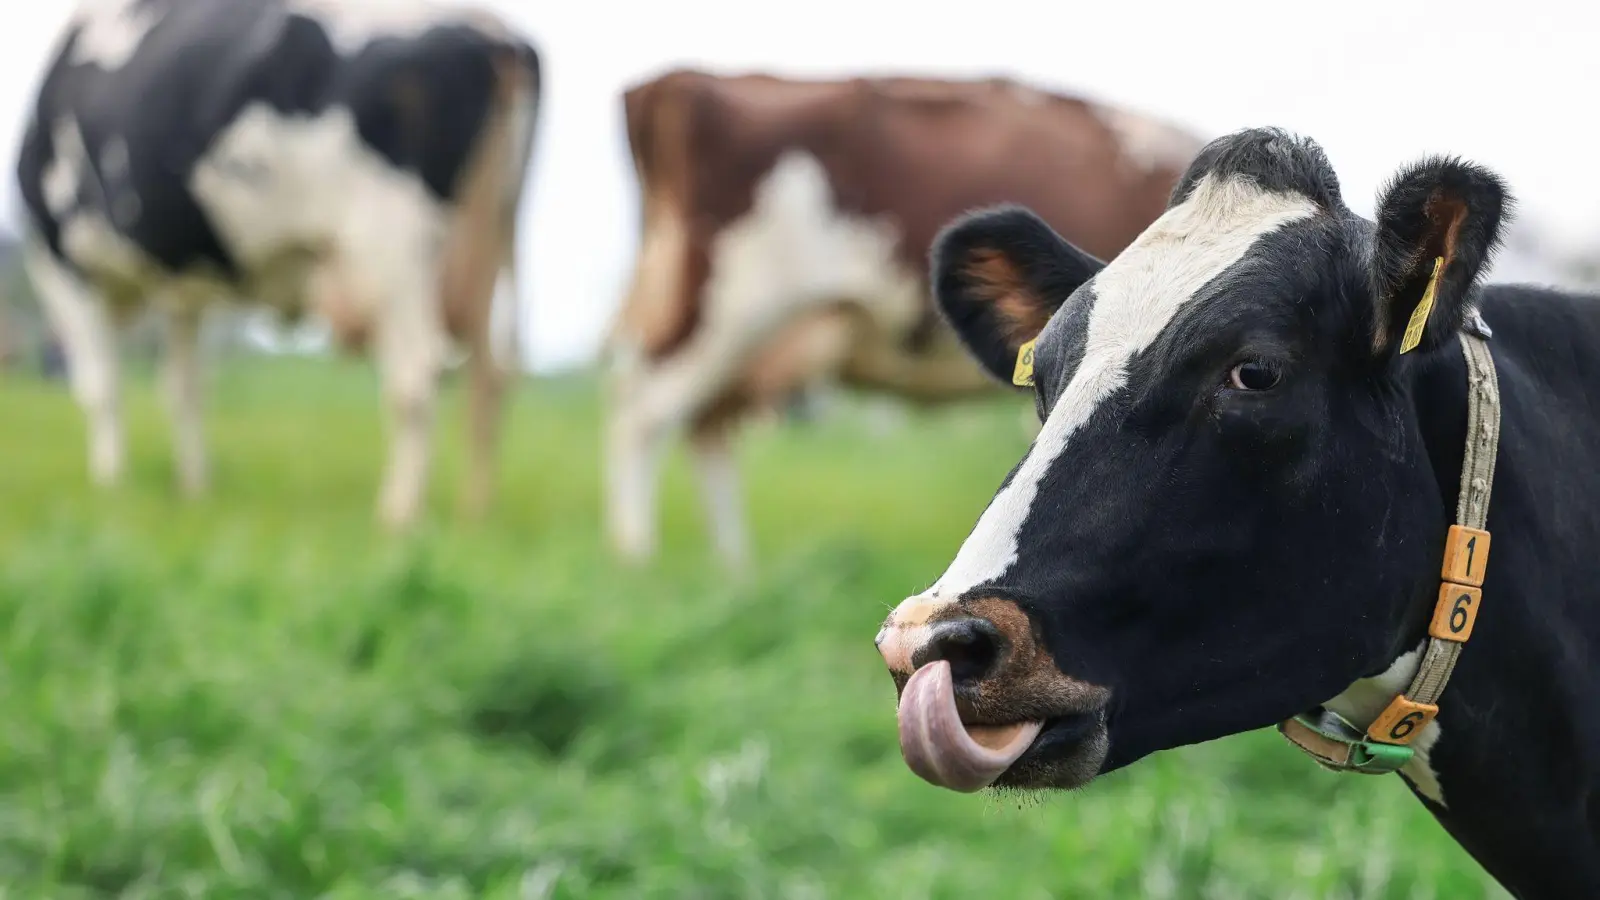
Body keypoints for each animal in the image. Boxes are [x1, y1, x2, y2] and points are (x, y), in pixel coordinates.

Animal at [15, 0, 544, 525]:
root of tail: (490, 29)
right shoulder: (184, 287)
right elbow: (185, 388)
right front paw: (194, 488)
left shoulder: (61, 262)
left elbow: (101, 388)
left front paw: (111, 487)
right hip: (494, 241)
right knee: (490, 377)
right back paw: (475, 513)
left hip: (393, 244)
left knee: (416, 374)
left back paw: (398, 514)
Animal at [601, 66, 1203, 563]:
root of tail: (671, 83)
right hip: (720, 304)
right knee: (643, 419)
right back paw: (640, 562)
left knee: (704, 426)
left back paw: (734, 570)